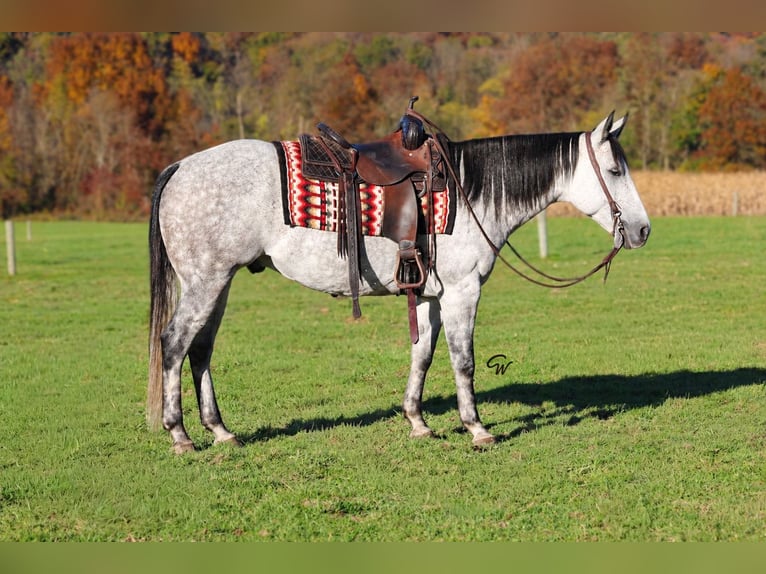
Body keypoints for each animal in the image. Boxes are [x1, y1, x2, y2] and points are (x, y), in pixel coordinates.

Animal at [147, 111, 650, 454]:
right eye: (615, 171)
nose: (643, 230)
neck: (471, 190)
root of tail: (180, 168)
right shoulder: (463, 291)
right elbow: (463, 361)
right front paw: (477, 429)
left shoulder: (430, 295)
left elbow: (422, 355)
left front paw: (418, 422)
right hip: (206, 282)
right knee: (174, 343)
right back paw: (180, 434)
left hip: (220, 283)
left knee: (200, 350)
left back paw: (220, 431)